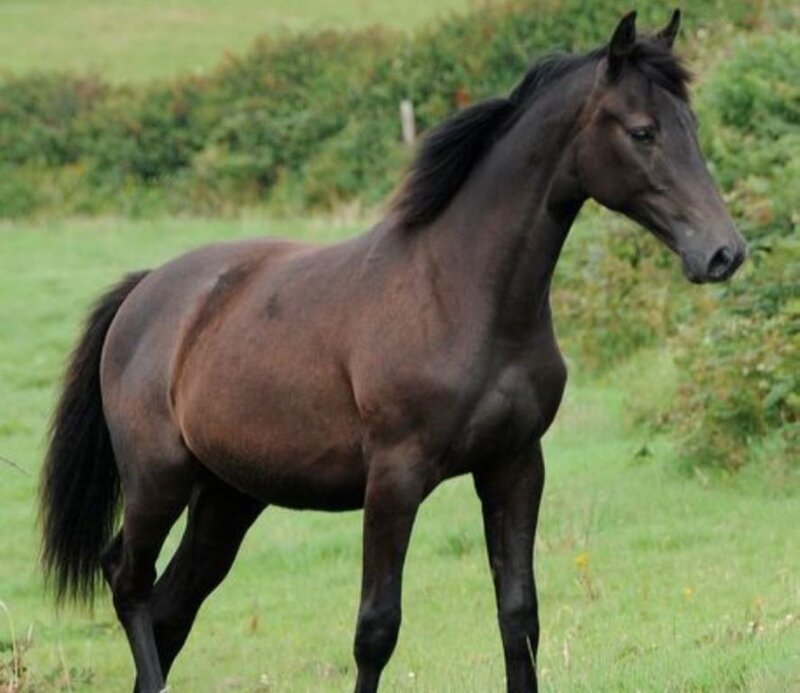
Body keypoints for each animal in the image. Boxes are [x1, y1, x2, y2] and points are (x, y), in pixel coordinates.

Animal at [40, 9, 746, 692]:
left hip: (227, 499)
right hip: (158, 481)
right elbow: (376, 629)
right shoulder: (393, 480)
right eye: (643, 131)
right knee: (128, 582)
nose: (723, 252)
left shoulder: (515, 466)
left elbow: (519, 617)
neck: (458, 294)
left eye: (690, 125)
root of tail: (146, 292)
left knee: (169, 610)